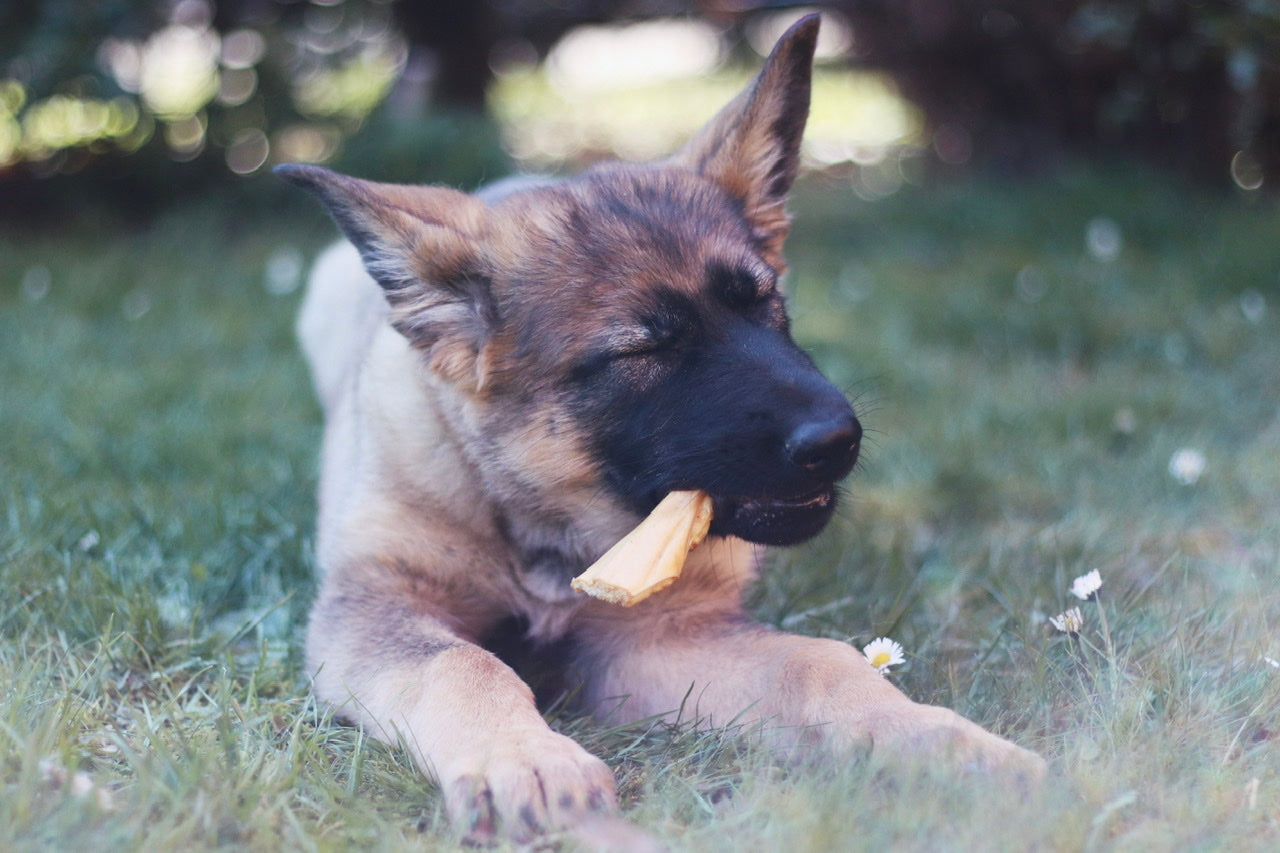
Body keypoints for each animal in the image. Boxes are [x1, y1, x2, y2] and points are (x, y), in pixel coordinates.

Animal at [277, 14, 1039, 845]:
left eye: (764, 301)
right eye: (644, 350)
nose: (837, 440)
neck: (544, 534)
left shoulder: (655, 637)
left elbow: (819, 662)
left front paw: (941, 741)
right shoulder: (371, 609)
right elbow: (462, 664)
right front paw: (527, 759)